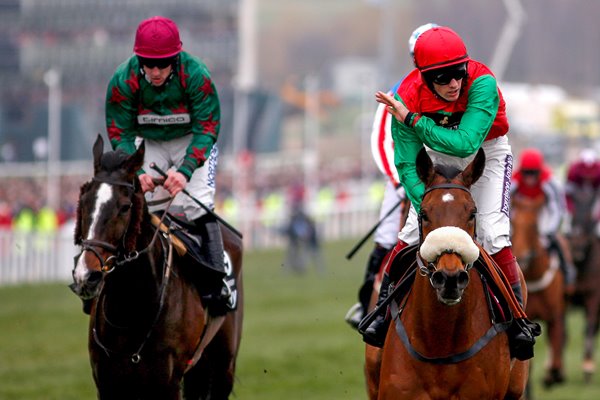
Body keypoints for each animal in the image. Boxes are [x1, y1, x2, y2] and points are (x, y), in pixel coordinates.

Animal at [71, 136, 245, 398]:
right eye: (83, 202)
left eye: (125, 206)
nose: (86, 275)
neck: (130, 312)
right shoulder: (107, 383)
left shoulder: (167, 382)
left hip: (223, 367)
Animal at [508, 194, 564, 388]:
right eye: (513, 223)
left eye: (534, 225)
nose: (523, 255)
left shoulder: (555, 317)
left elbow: (556, 347)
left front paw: (552, 375)